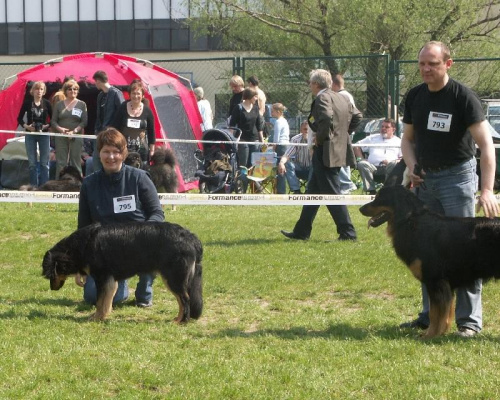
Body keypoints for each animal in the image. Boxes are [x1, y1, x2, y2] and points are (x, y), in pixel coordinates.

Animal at [42, 220, 203, 324]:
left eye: (52, 275)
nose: (52, 288)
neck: (81, 246)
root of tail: (192, 238)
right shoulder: (110, 280)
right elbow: (106, 301)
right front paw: (103, 316)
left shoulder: (102, 277)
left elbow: (100, 301)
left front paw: (96, 317)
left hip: (173, 277)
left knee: (185, 299)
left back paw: (182, 321)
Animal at [360, 186, 500, 340]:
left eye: (380, 197)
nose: (361, 209)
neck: (410, 221)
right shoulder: (444, 285)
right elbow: (443, 312)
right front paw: (440, 332)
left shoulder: (435, 281)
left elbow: (435, 313)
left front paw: (430, 335)